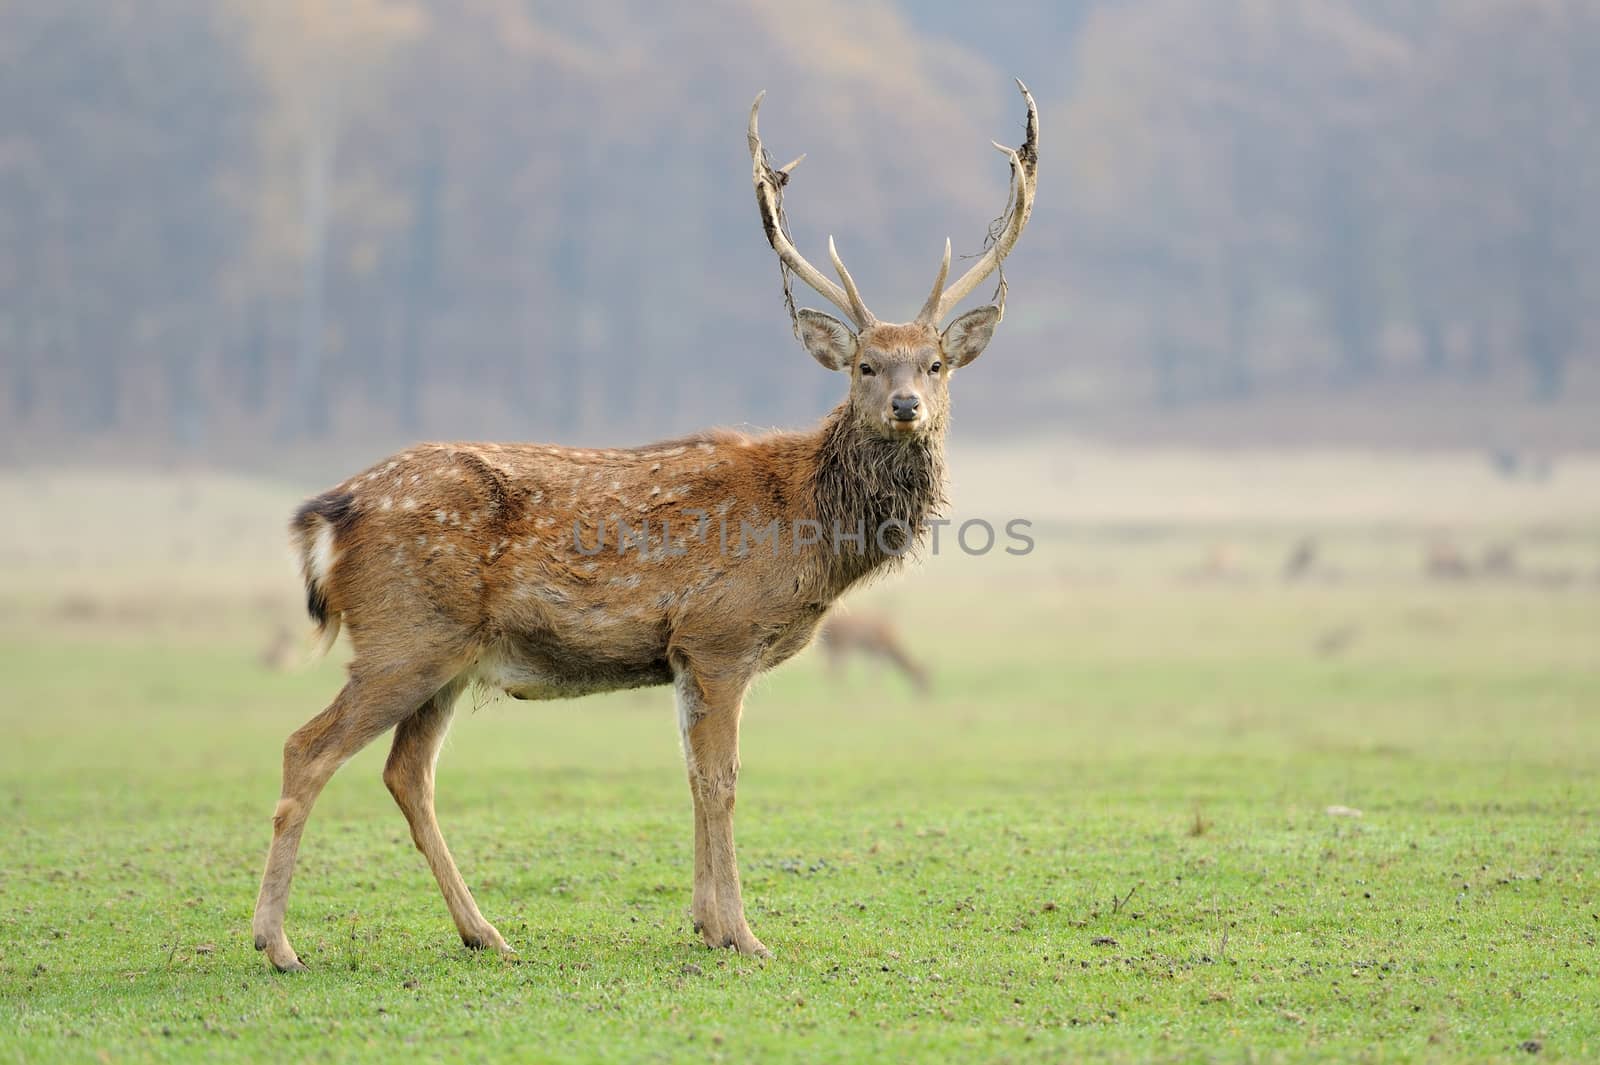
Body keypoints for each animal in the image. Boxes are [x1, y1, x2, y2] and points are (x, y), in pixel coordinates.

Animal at [249, 83, 1036, 965]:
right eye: (866, 365)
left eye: (935, 364)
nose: (906, 405)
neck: (802, 523)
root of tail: (331, 510)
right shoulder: (722, 633)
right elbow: (723, 780)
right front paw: (744, 933)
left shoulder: (685, 654)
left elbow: (693, 777)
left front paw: (705, 921)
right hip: (402, 633)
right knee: (306, 749)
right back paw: (277, 942)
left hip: (445, 654)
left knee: (405, 772)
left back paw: (483, 931)